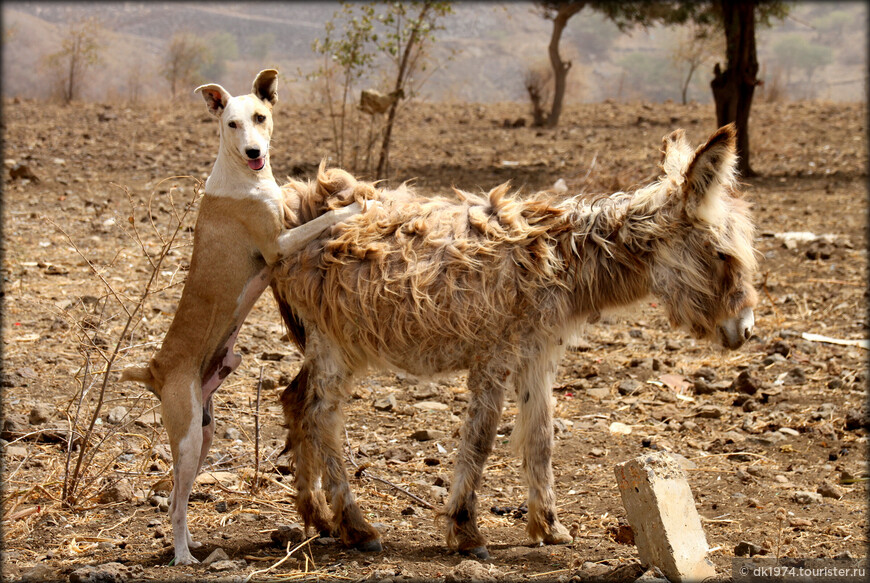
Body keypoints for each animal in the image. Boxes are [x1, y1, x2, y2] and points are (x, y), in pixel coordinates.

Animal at [120, 68, 362, 564]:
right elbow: (323, 221)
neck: (243, 177)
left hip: (205, 431)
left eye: (260, 117)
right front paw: (355, 203)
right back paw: (183, 556)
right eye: (231, 123)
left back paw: (193, 543)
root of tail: (154, 370)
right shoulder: (278, 243)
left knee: (178, 497)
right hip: (187, 437)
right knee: (175, 503)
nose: (254, 152)